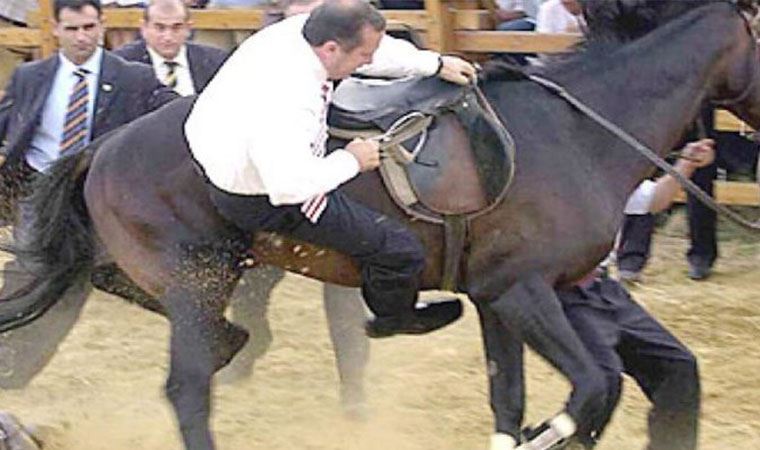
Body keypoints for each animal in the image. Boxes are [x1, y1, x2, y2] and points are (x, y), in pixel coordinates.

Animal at [1, 1, 760, 448]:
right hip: (194, 282)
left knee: (189, 327)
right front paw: (557, 429)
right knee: (187, 390)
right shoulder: (523, 291)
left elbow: (509, 400)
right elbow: (590, 390)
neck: (576, 132)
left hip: (175, 273)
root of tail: (101, 148)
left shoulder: (498, 300)